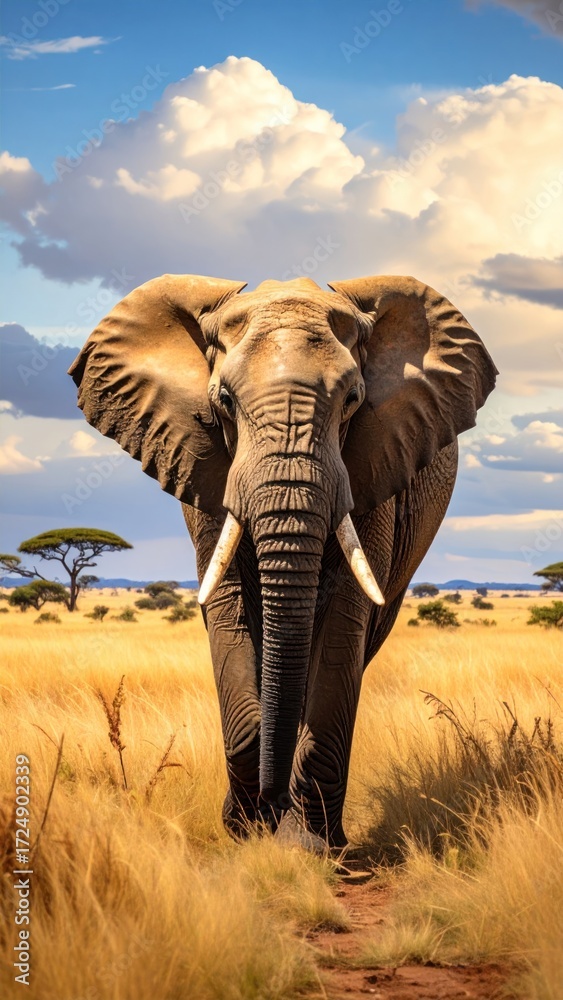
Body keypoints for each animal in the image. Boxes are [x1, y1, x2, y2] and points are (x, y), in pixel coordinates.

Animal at [68, 273, 497, 849]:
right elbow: (227, 616)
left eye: (353, 399)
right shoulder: (206, 469)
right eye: (224, 401)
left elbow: (342, 627)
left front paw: (307, 845)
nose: (267, 804)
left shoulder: (373, 470)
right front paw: (247, 830)